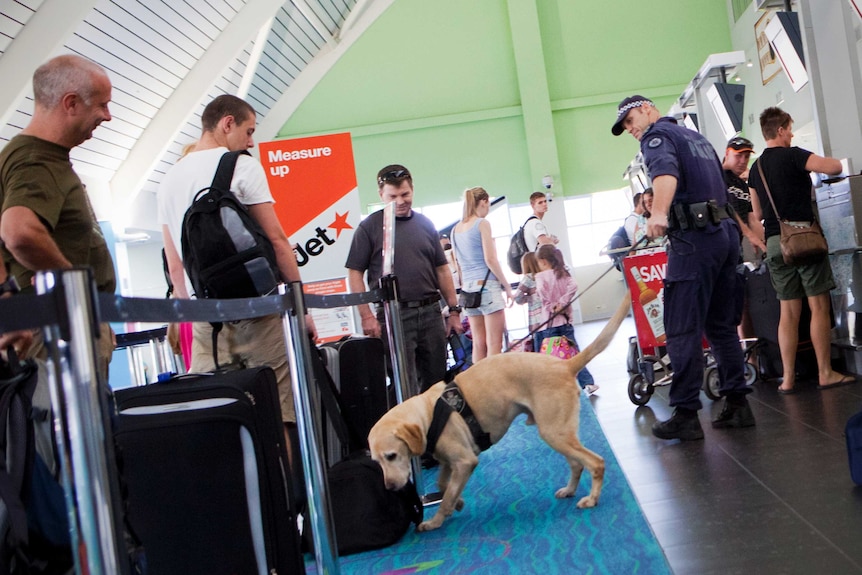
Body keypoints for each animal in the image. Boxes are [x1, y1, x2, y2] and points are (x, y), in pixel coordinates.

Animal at [368, 294, 632, 532]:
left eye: (391, 456)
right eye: (377, 461)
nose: (390, 487)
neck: (427, 414)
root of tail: (564, 365)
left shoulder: (465, 461)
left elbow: (446, 496)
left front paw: (435, 521)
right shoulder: (450, 462)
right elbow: (444, 486)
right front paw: (458, 502)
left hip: (554, 433)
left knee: (595, 463)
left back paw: (592, 498)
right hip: (559, 434)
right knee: (577, 464)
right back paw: (569, 490)